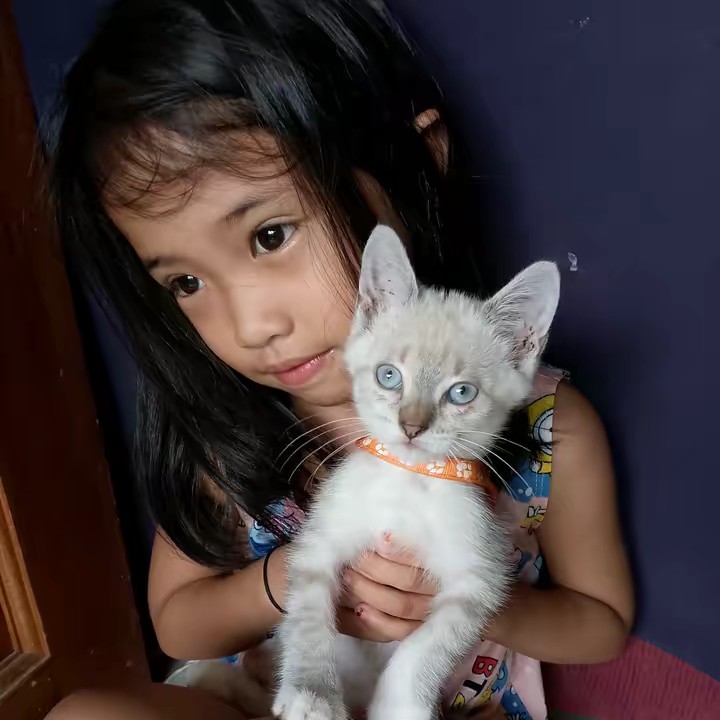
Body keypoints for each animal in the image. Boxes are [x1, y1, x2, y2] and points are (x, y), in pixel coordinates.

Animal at [273, 225, 561, 720]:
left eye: (461, 393)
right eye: (389, 376)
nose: (411, 426)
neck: (409, 482)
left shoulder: (477, 581)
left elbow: (426, 648)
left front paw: (400, 706)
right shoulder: (318, 544)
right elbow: (308, 617)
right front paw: (311, 692)